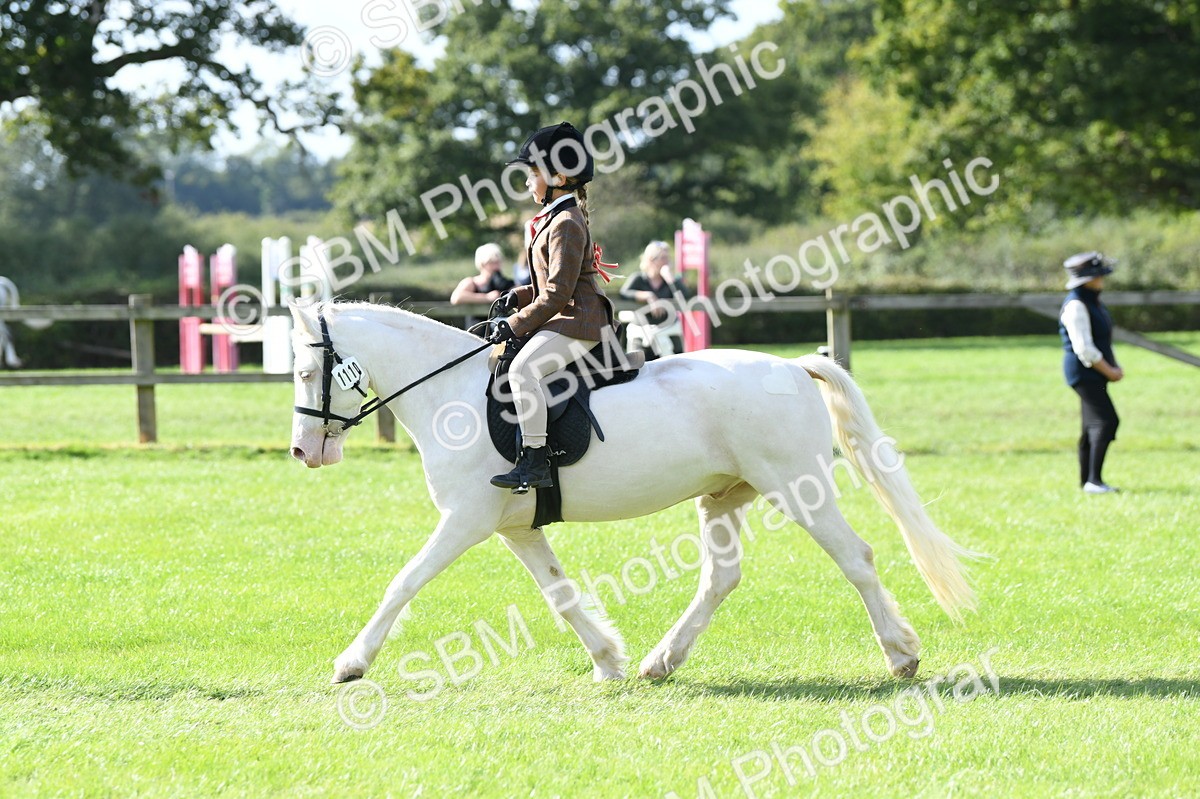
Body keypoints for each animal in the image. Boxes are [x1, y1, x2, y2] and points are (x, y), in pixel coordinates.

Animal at [287, 301, 979, 685]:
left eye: (305, 370)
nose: (302, 452)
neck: (449, 393)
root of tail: (790, 365)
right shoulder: (515, 527)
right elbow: (560, 594)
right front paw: (607, 660)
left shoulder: (466, 520)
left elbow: (403, 581)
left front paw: (351, 663)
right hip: (723, 497)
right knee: (721, 578)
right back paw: (659, 662)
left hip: (795, 489)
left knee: (855, 558)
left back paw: (900, 657)